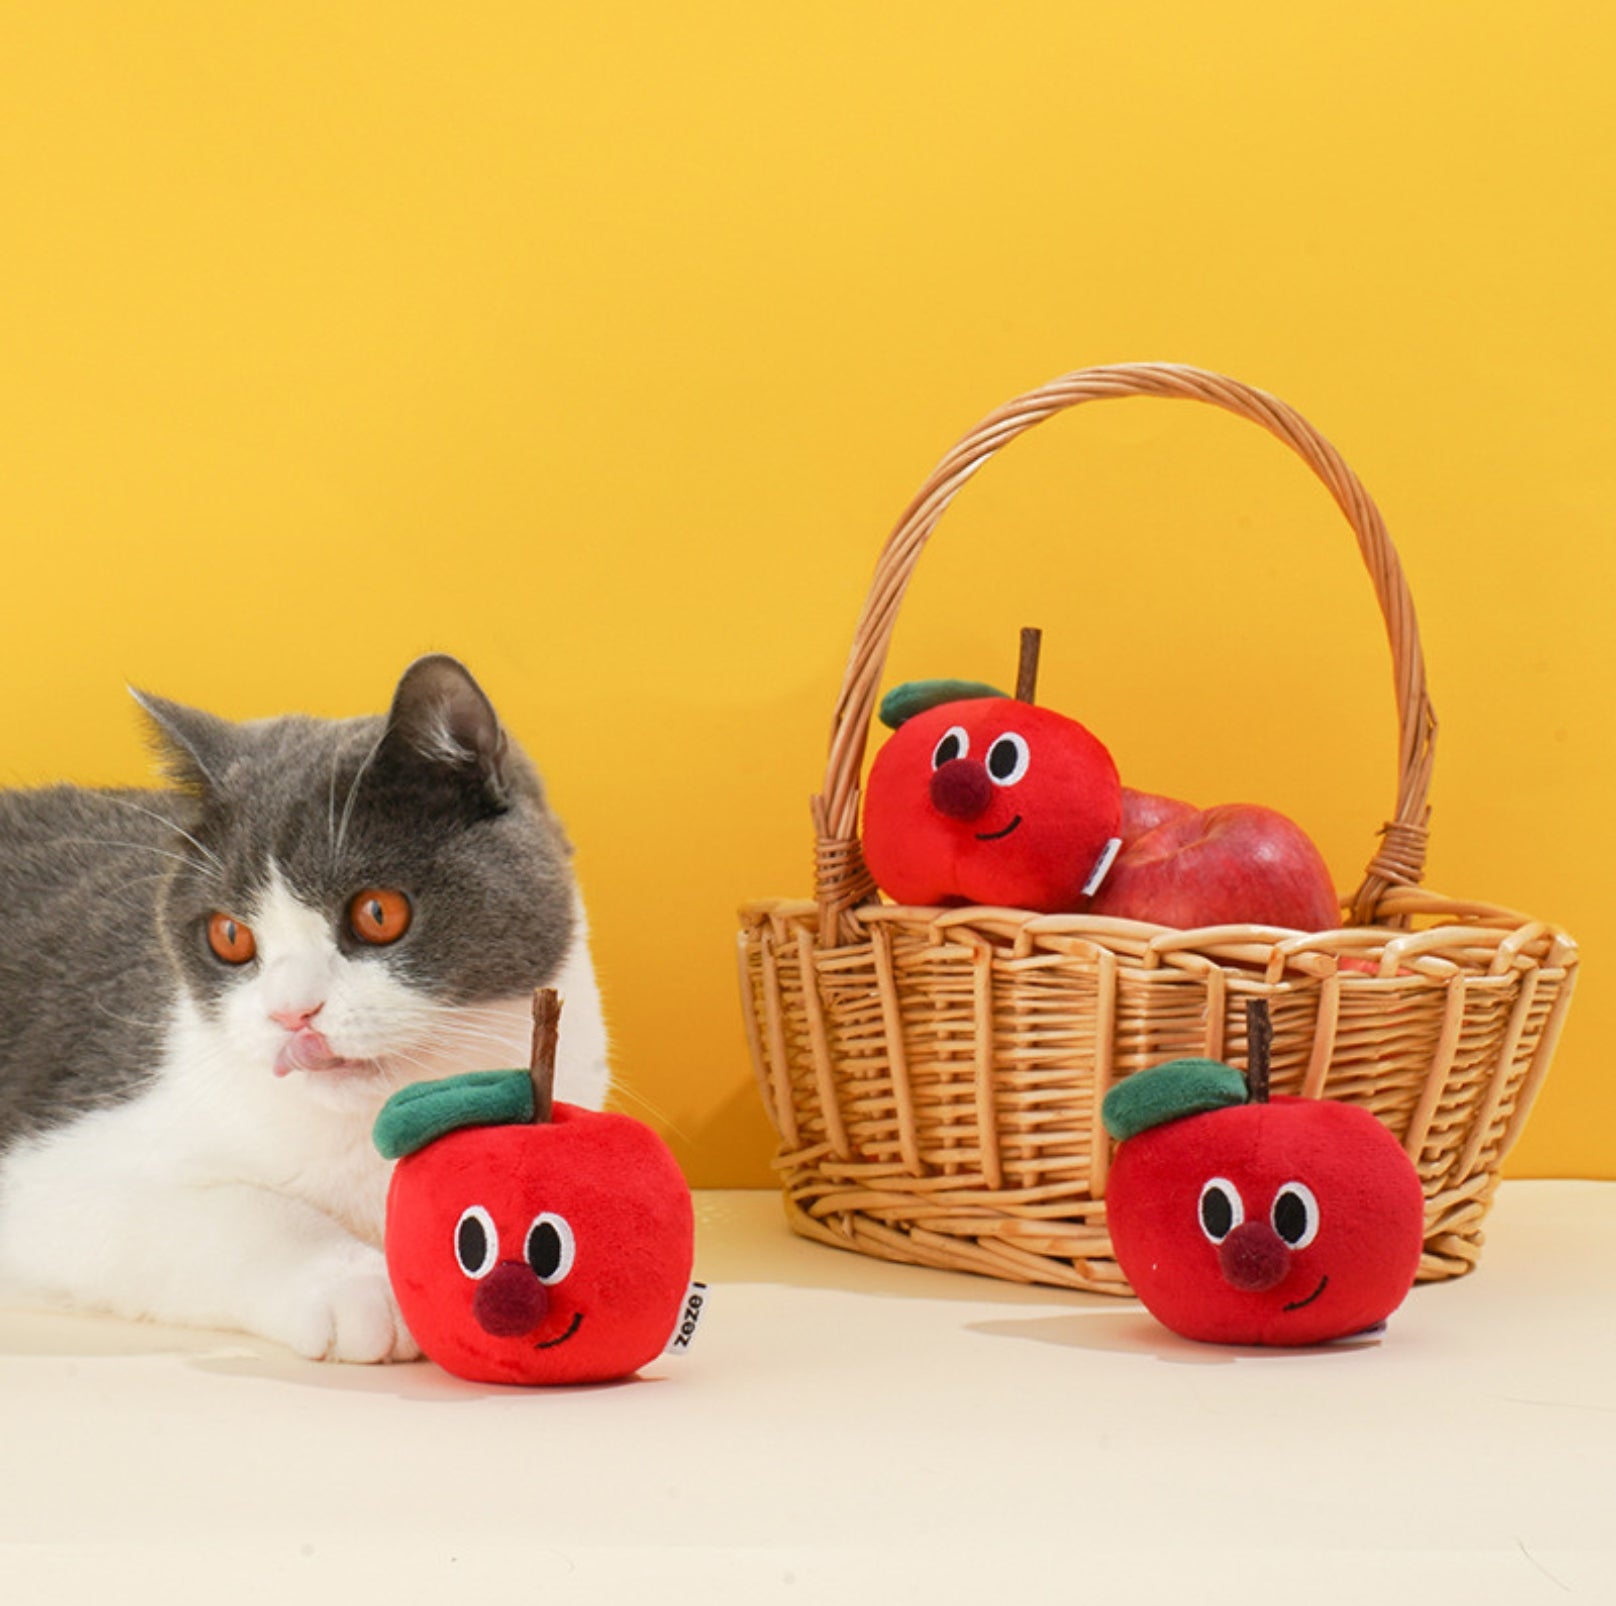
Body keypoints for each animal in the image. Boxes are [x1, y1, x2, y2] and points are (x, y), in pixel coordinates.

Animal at [0, 655, 607, 1357]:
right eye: (230, 935)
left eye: (377, 913)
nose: (292, 1013)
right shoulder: (47, 1174)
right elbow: (221, 1211)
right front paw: (355, 1284)